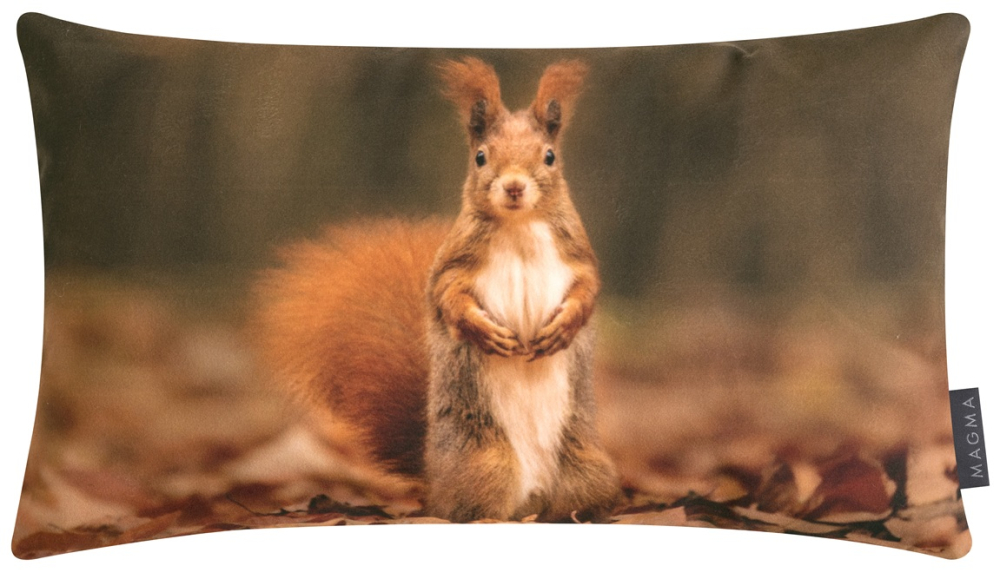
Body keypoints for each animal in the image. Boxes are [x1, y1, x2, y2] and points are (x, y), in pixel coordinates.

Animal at [252, 57, 620, 523]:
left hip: (584, 469)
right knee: (474, 507)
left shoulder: (578, 256)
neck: (519, 226)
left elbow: (587, 290)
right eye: (480, 157)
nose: (514, 186)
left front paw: (564, 328)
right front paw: (483, 331)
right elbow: (448, 298)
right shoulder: (455, 263)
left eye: (550, 157)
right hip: (485, 462)